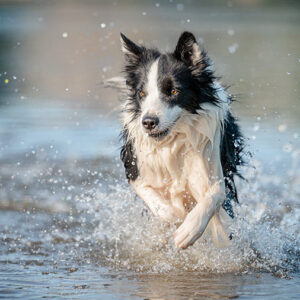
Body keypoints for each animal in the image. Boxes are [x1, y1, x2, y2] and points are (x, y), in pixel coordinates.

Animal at [106, 31, 245, 250]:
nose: (148, 122)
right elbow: (152, 197)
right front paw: (174, 218)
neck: (172, 141)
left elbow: (215, 194)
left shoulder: (212, 166)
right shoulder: (134, 167)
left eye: (173, 91)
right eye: (141, 93)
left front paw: (188, 231)